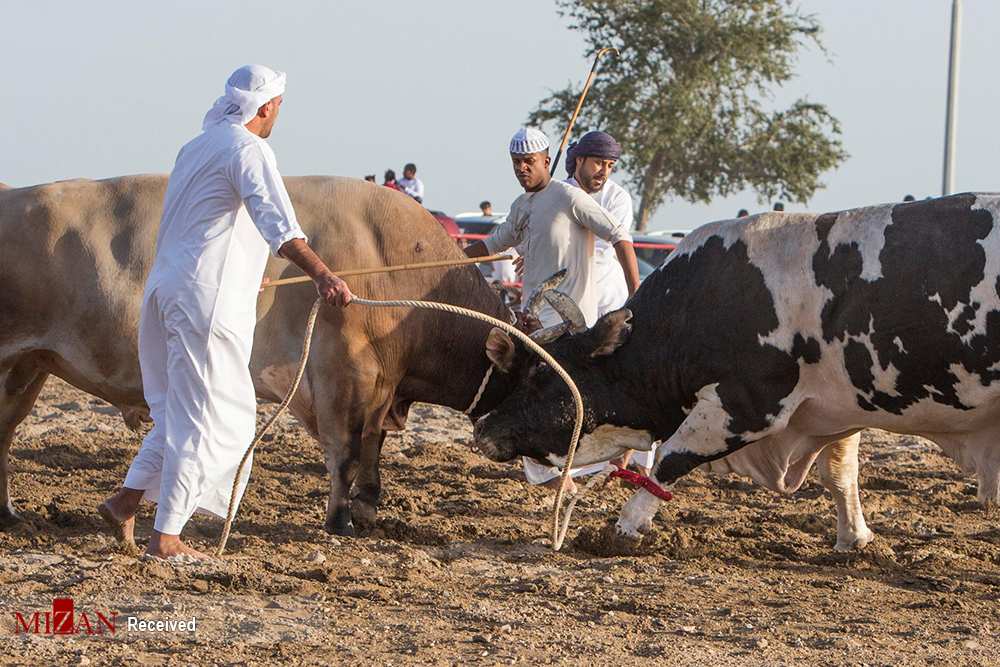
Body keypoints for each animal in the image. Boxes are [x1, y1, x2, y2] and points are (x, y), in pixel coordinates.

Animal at [468, 196, 1000, 552]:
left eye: (540, 376)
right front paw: (856, 539)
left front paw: (624, 528)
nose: (483, 430)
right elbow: (840, 473)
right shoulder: (833, 409)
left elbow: (670, 459)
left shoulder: (748, 404)